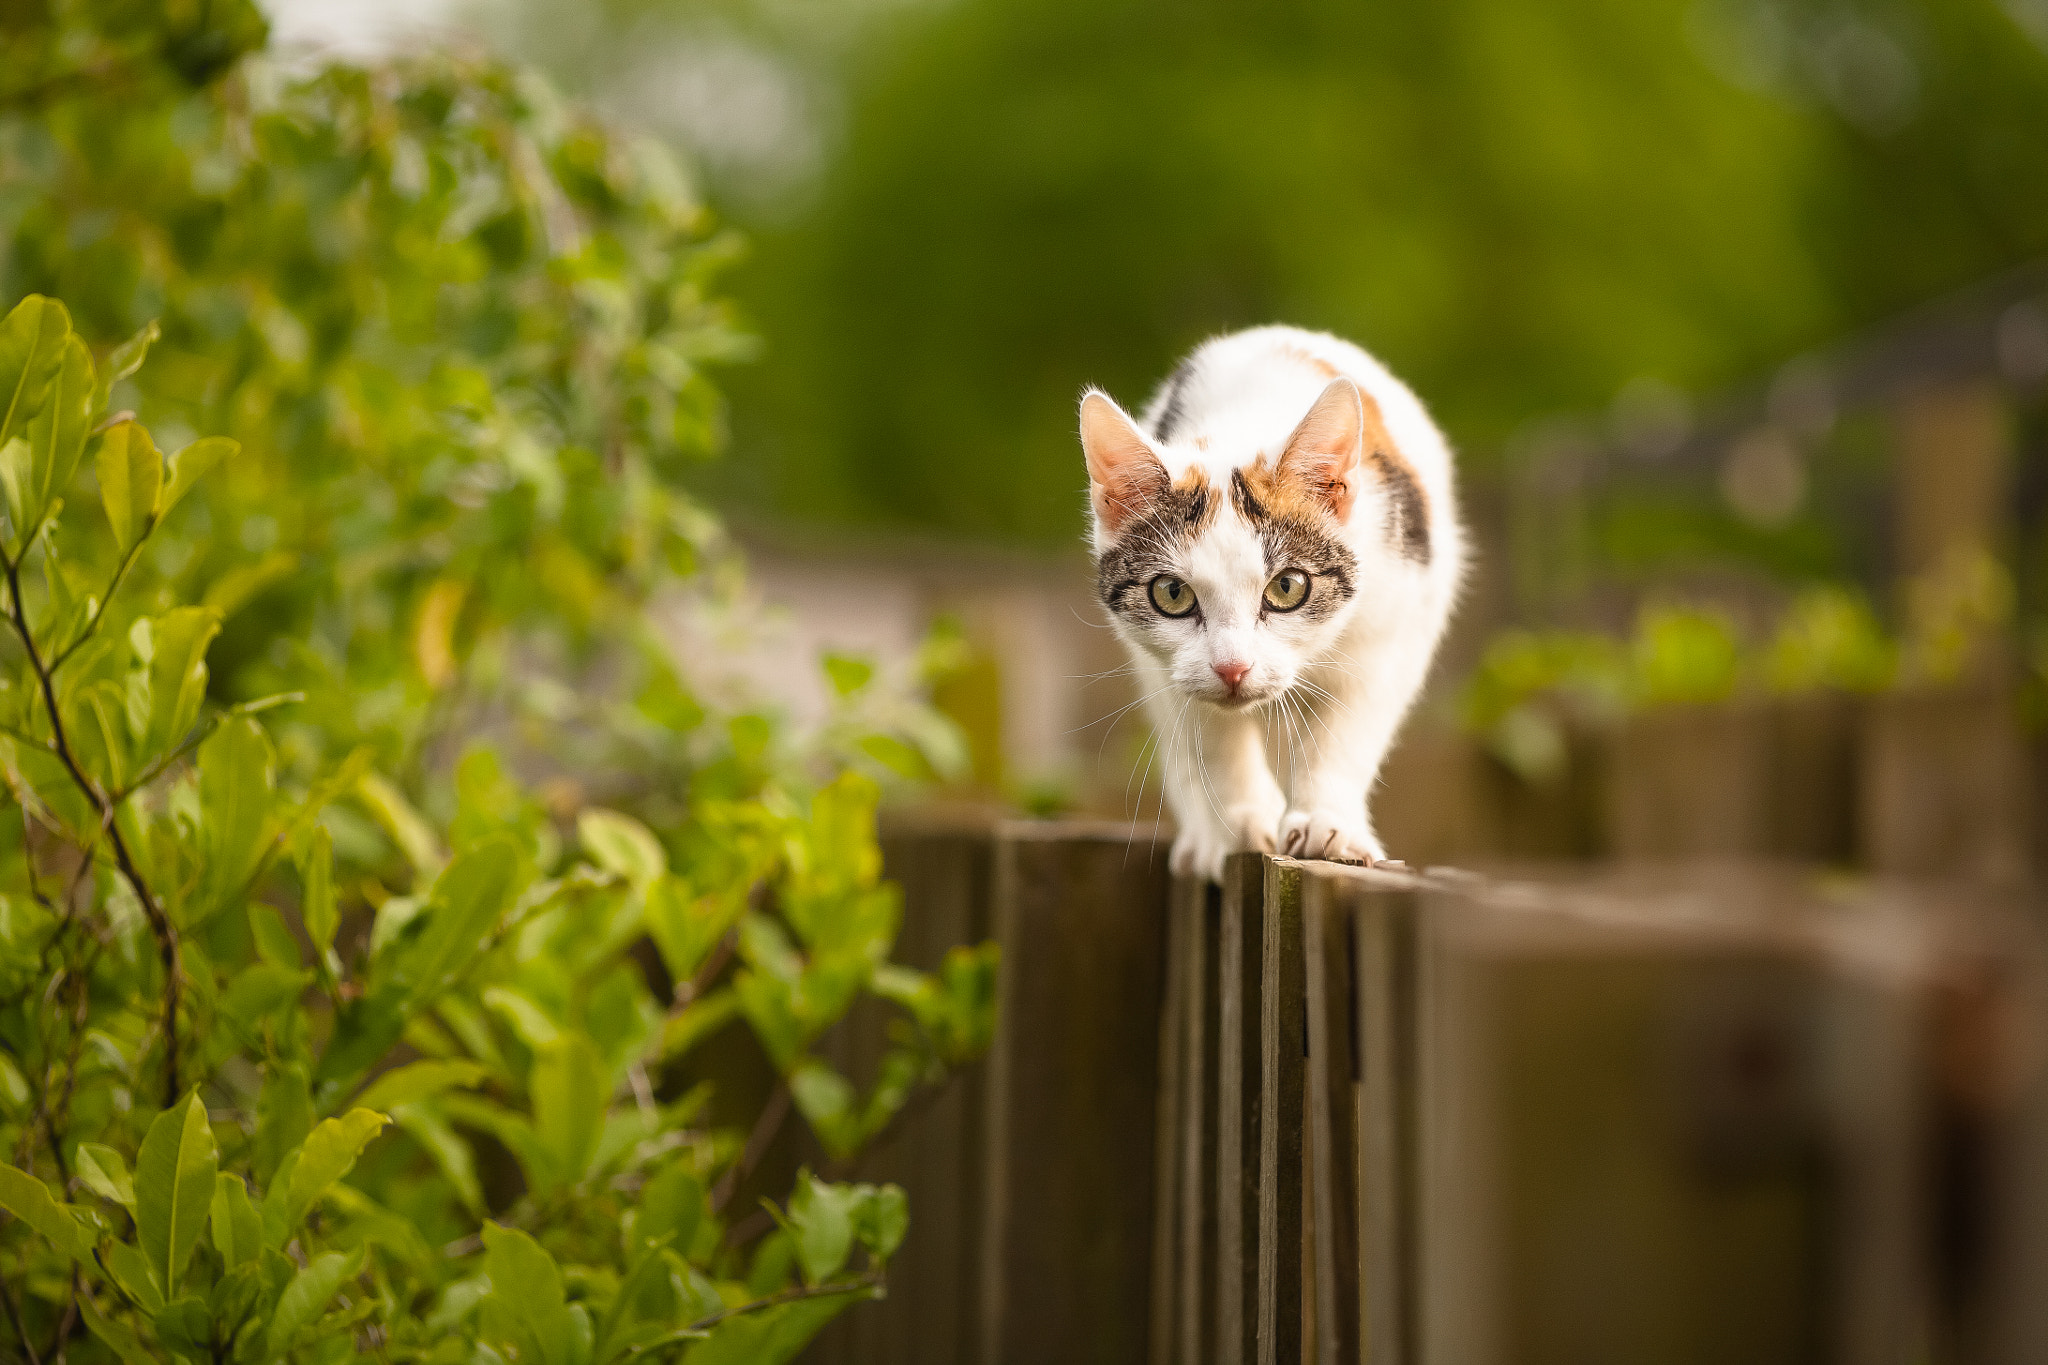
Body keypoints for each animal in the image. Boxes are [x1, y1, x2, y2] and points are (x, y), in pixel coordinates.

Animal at [1081, 325, 1466, 879]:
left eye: (1287, 588)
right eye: (1172, 594)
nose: (1233, 669)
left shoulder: (1399, 611)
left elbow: (1350, 724)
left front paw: (1326, 825)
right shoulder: (1172, 666)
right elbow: (1210, 735)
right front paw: (1240, 827)